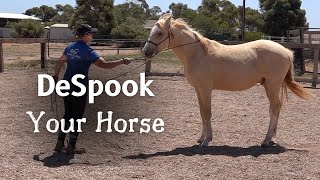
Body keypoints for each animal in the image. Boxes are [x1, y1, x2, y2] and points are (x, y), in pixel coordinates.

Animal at [143, 13, 312, 146]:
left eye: (159, 33)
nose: (145, 51)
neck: (197, 54)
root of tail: (286, 51)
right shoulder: (198, 89)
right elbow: (202, 113)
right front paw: (201, 138)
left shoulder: (206, 89)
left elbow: (207, 113)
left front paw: (207, 140)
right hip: (269, 85)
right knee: (276, 108)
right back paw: (271, 138)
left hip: (273, 85)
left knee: (274, 109)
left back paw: (266, 140)